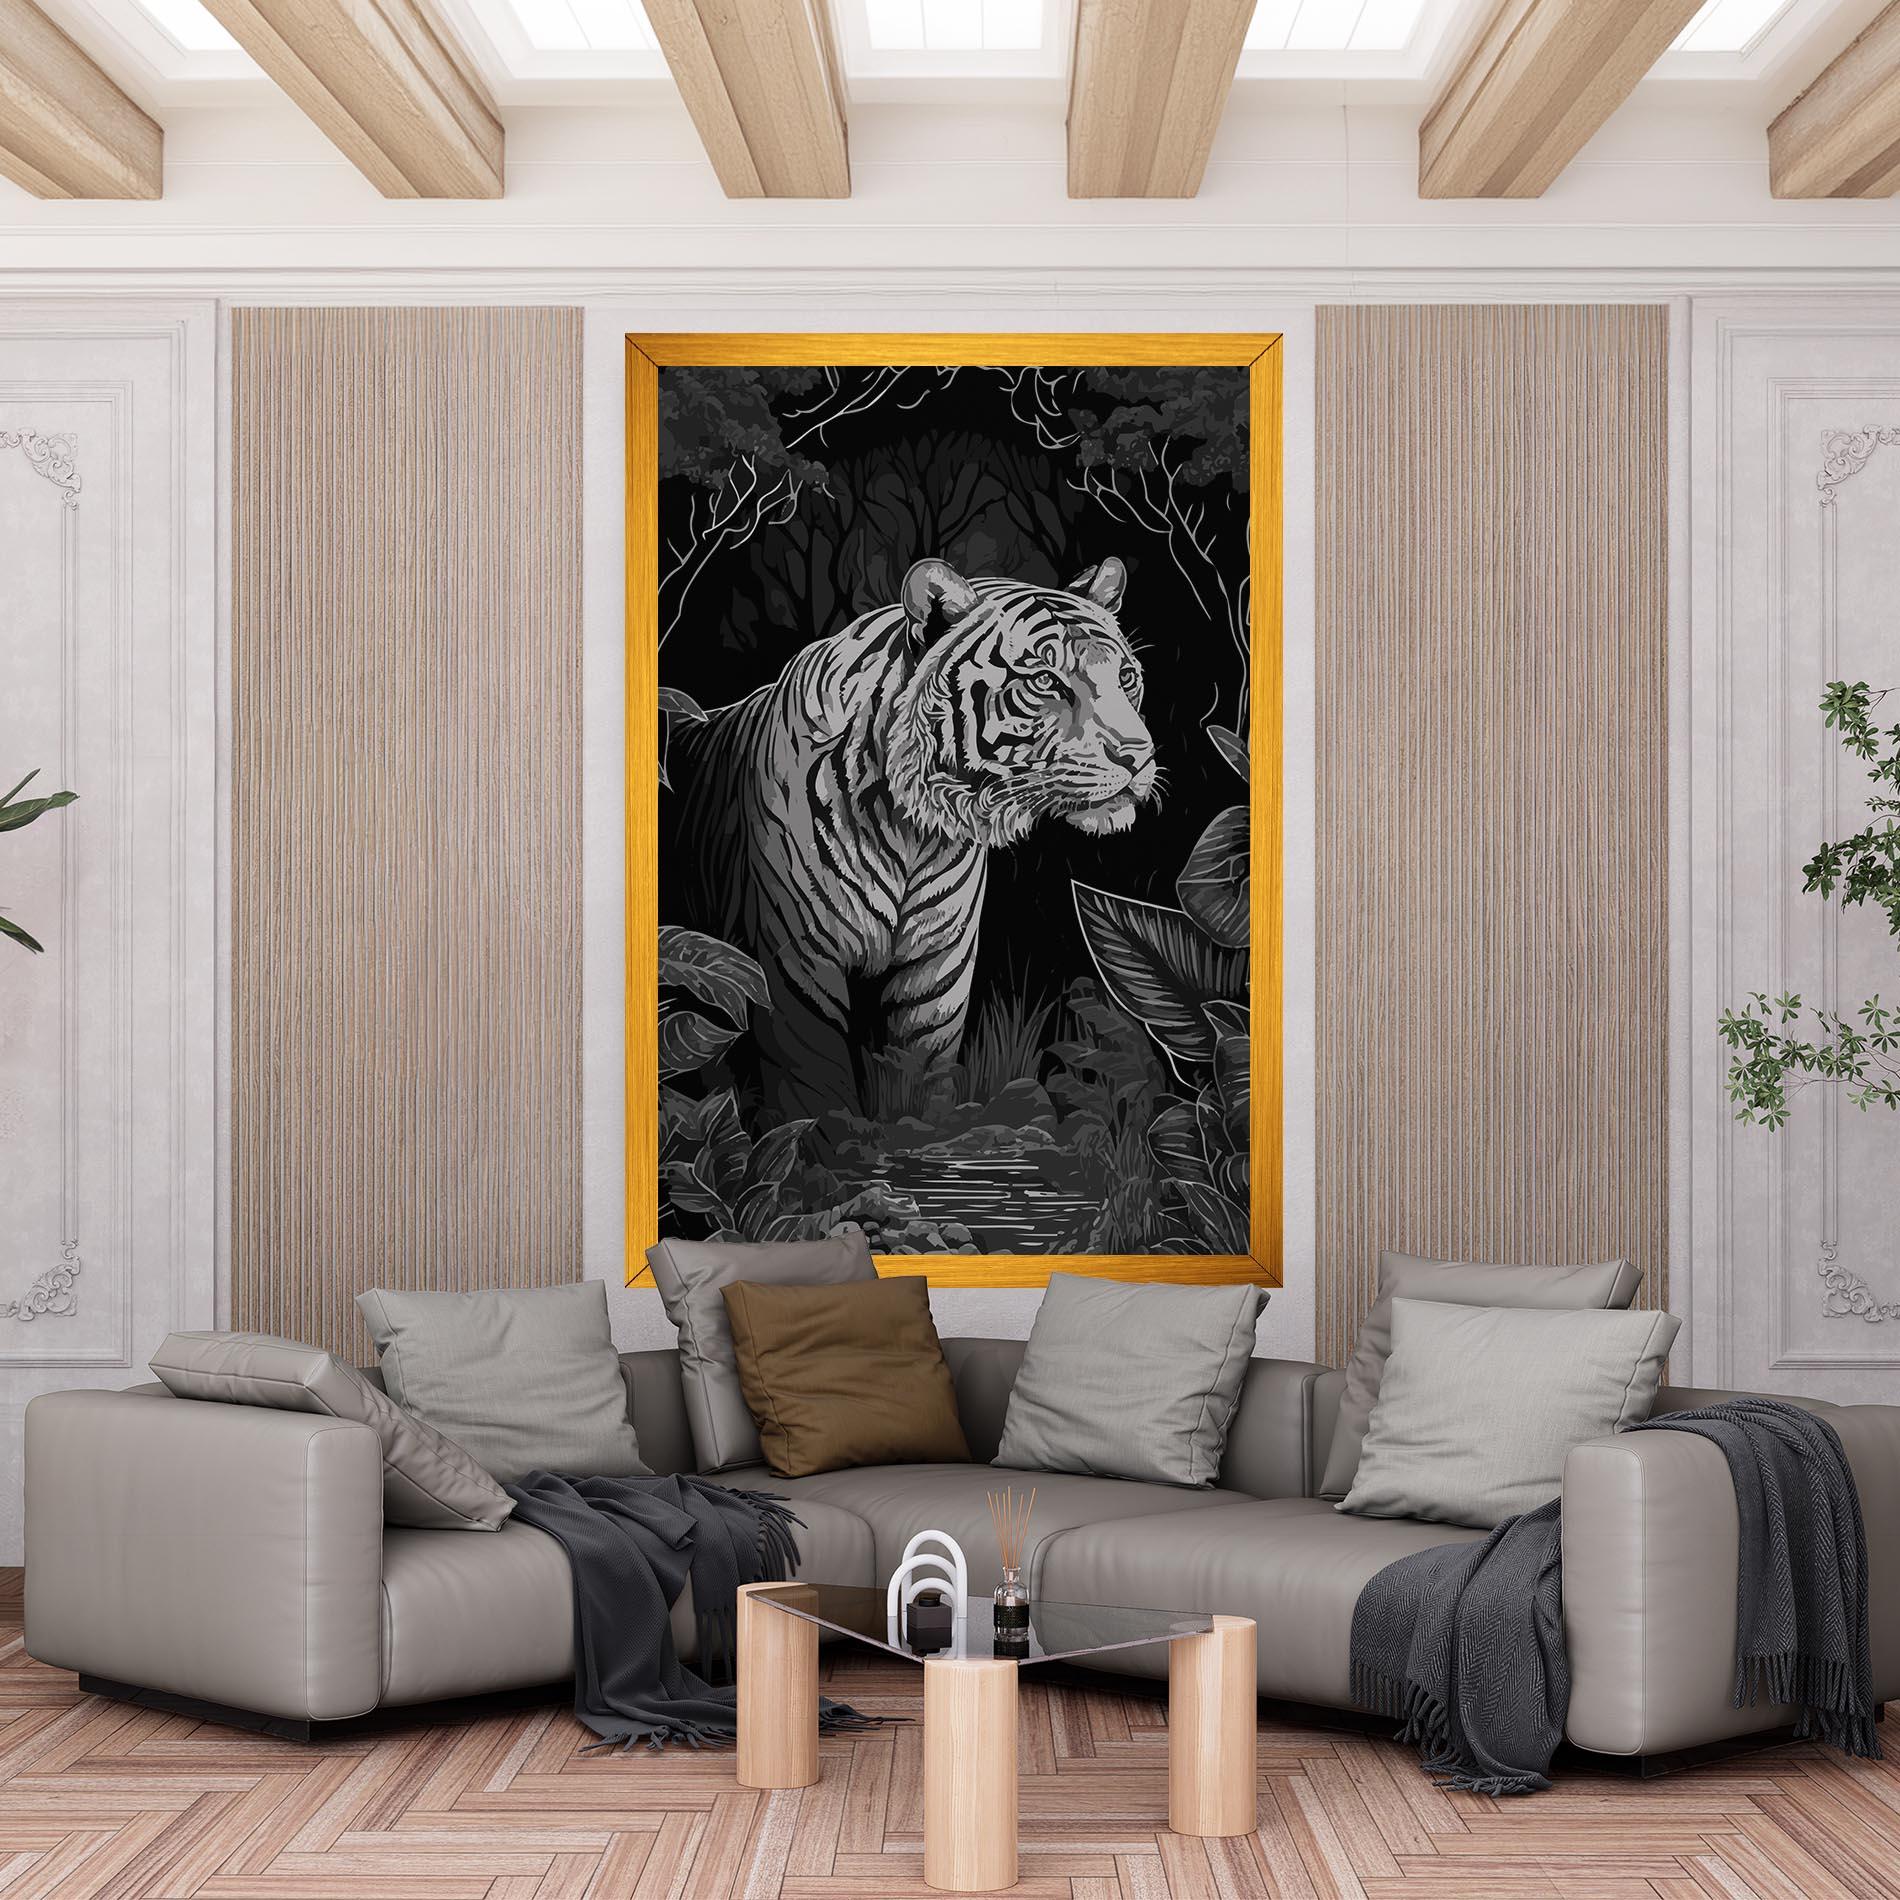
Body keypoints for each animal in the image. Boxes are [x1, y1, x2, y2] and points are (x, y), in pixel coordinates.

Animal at [669, 555, 1157, 1125]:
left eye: (1126, 677)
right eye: (1043, 680)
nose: (1138, 756)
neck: (913, 831)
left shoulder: (937, 970)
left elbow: (922, 1082)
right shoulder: (796, 968)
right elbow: (813, 1095)